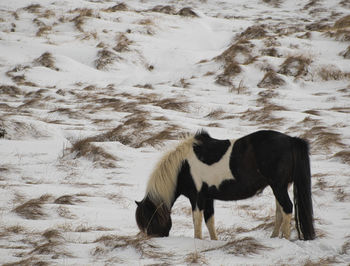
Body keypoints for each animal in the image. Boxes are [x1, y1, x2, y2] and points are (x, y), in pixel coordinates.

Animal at [135, 129, 316, 241]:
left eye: (149, 220)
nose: (152, 240)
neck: (183, 167)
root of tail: (291, 140)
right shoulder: (208, 198)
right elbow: (209, 221)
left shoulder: (197, 198)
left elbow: (197, 221)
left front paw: (197, 241)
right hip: (279, 187)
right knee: (280, 211)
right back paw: (274, 238)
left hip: (278, 187)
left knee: (287, 208)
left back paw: (285, 239)